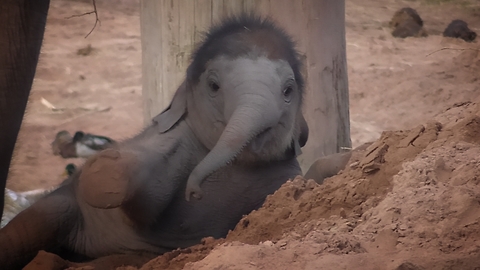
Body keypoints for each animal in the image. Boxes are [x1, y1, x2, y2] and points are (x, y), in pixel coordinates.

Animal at [0, 13, 312, 268]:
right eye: (213, 86)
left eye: (288, 91)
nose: (193, 192)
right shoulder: (172, 144)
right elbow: (144, 201)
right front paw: (105, 167)